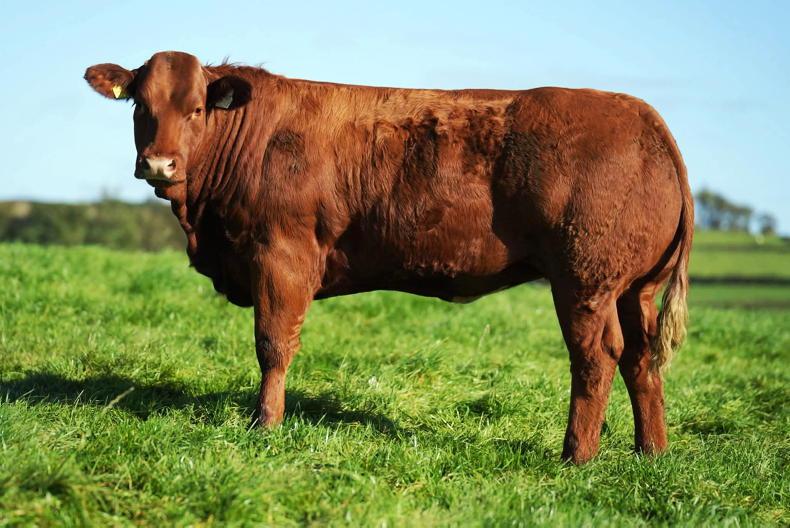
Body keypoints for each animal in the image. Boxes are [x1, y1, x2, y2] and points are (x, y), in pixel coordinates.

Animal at [84, 50, 693, 464]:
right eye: (140, 105)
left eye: (195, 110)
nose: (158, 164)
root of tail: (642, 114)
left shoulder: (281, 257)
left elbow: (272, 346)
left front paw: (265, 424)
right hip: (634, 288)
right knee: (641, 358)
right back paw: (651, 450)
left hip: (584, 282)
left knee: (596, 356)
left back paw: (576, 454)